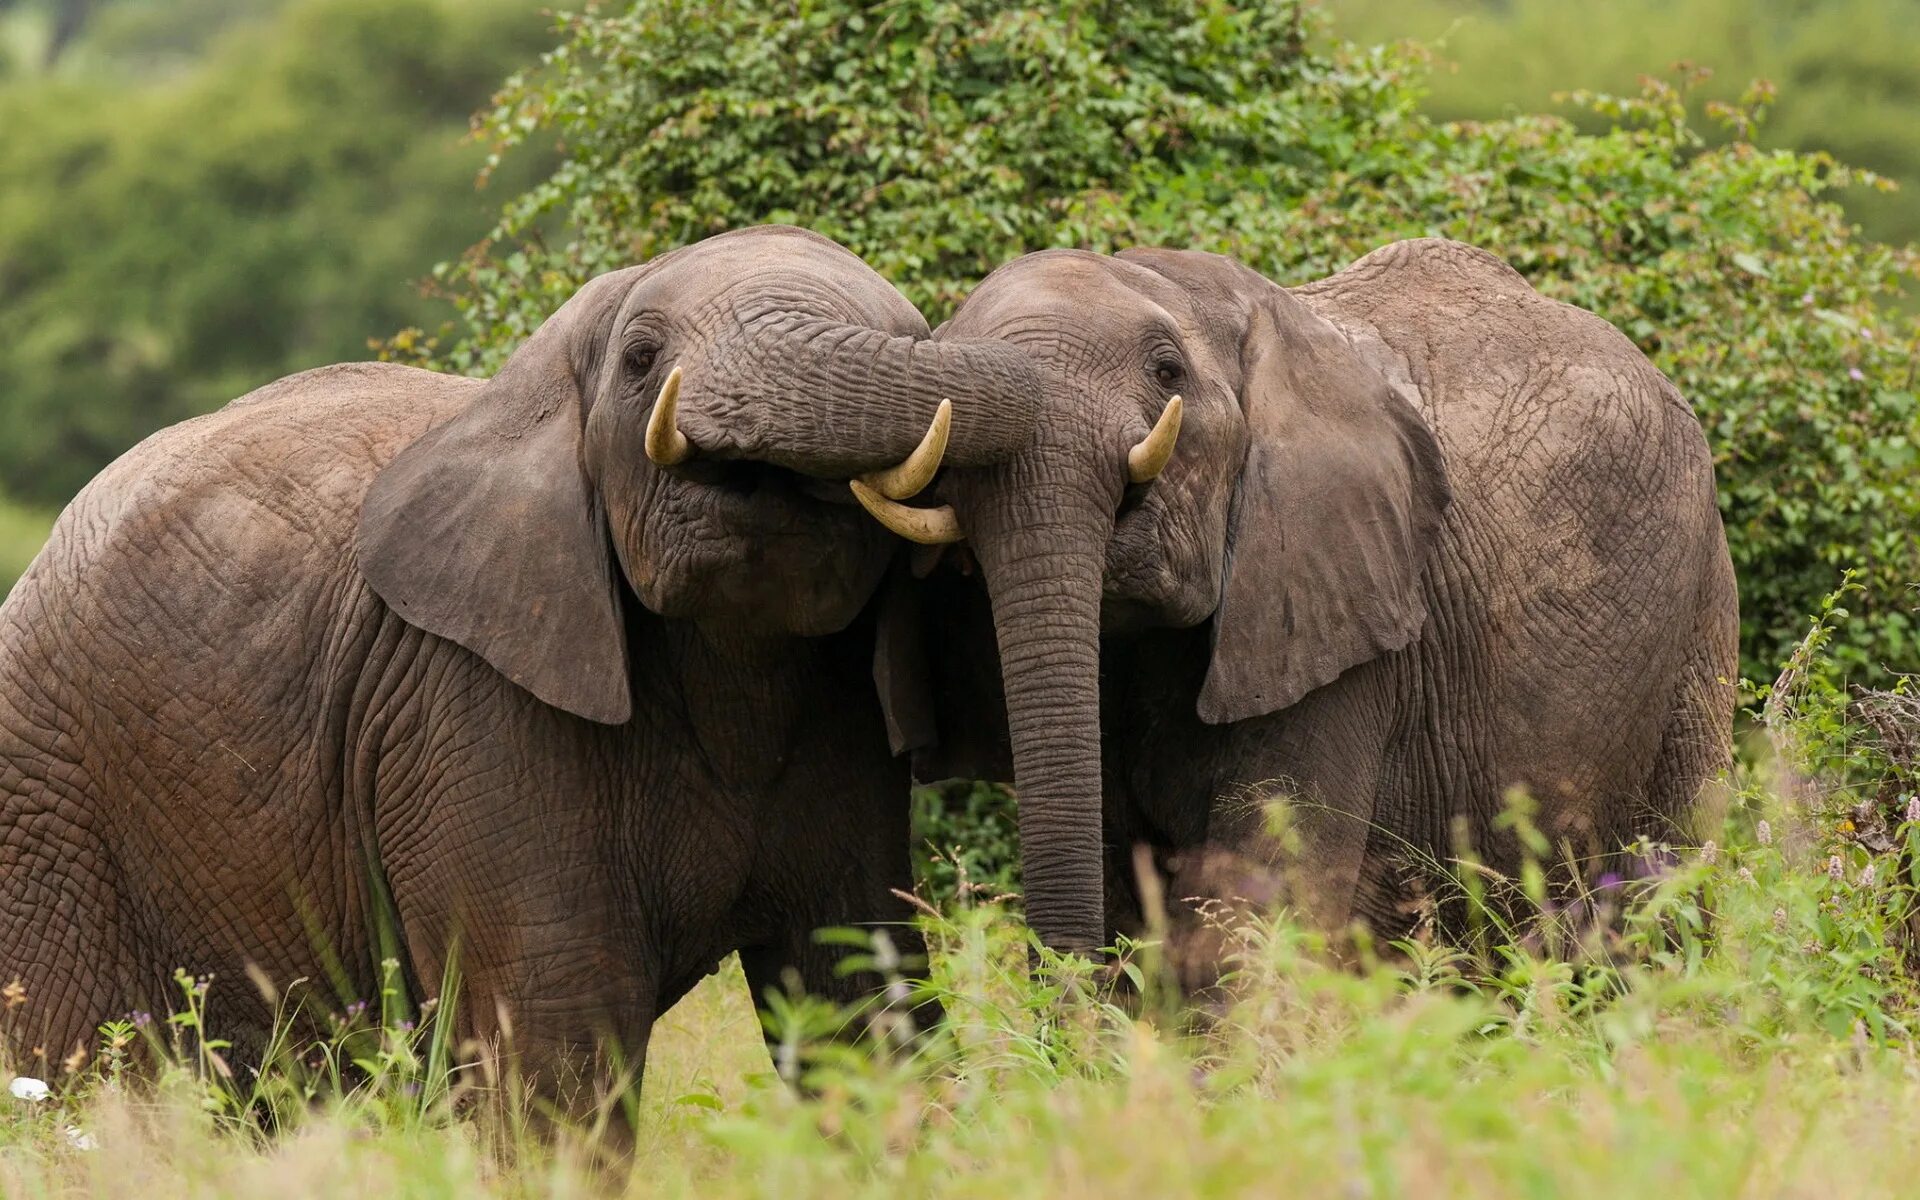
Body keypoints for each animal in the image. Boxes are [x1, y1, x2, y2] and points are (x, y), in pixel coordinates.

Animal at [0, 224, 1036, 1105]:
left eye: (908, 338)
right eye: (641, 359)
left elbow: (859, 992)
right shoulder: (466, 707)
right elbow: (557, 1032)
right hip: (47, 810)